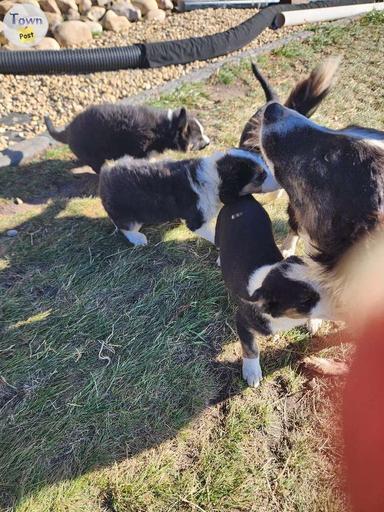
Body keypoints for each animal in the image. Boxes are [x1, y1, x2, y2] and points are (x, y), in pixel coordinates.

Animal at [46, 103, 212, 173]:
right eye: (198, 138)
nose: (209, 142)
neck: (166, 127)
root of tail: (68, 130)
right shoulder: (140, 151)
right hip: (92, 153)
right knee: (96, 166)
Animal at [99, 148, 280, 246]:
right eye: (261, 176)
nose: (280, 178)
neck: (216, 176)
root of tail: (105, 173)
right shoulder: (197, 221)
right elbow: (214, 236)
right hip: (128, 214)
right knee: (124, 227)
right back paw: (138, 239)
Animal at [216, 196, 330, 388]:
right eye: (304, 301)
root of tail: (242, 198)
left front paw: (314, 322)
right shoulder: (243, 321)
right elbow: (250, 348)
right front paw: (252, 373)